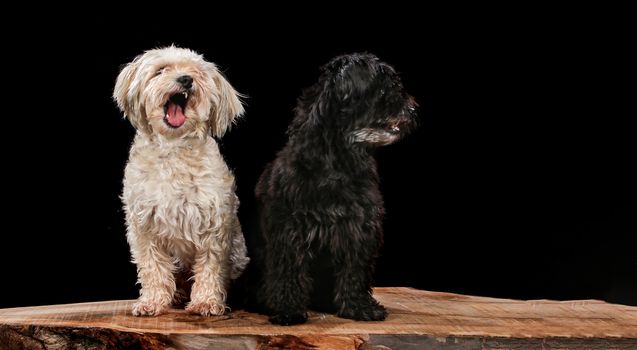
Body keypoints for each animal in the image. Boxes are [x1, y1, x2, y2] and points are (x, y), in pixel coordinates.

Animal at [113, 46, 247, 318]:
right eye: (161, 70)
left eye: (197, 72)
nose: (186, 79)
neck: (173, 148)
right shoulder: (144, 226)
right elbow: (153, 267)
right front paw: (153, 301)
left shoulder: (214, 227)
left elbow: (210, 267)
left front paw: (206, 302)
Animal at [250, 52, 418, 326]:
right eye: (384, 88)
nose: (414, 109)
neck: (338, 162)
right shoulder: (289, 232)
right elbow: (288, 271)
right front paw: (288, 310)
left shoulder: (360, 229)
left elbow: (355, 272)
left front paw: (359, 307)